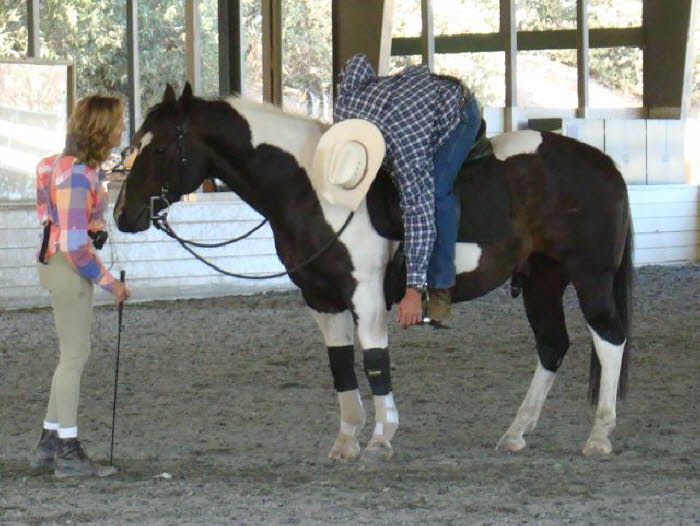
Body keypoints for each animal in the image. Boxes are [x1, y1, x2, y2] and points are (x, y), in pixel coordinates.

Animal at [116, 83, 636, 462]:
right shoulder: (322, 300)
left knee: (609, 340)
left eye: (159, 149)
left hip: (590, 276)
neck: (315, 188)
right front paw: (346, 441)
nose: (123, 215)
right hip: (543, 280)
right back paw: (515, 432)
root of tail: (604, 163)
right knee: (552, 346)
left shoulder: (365, 294)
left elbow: (374, 360)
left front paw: (383, 437)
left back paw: (599, 436)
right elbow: (341, 365)